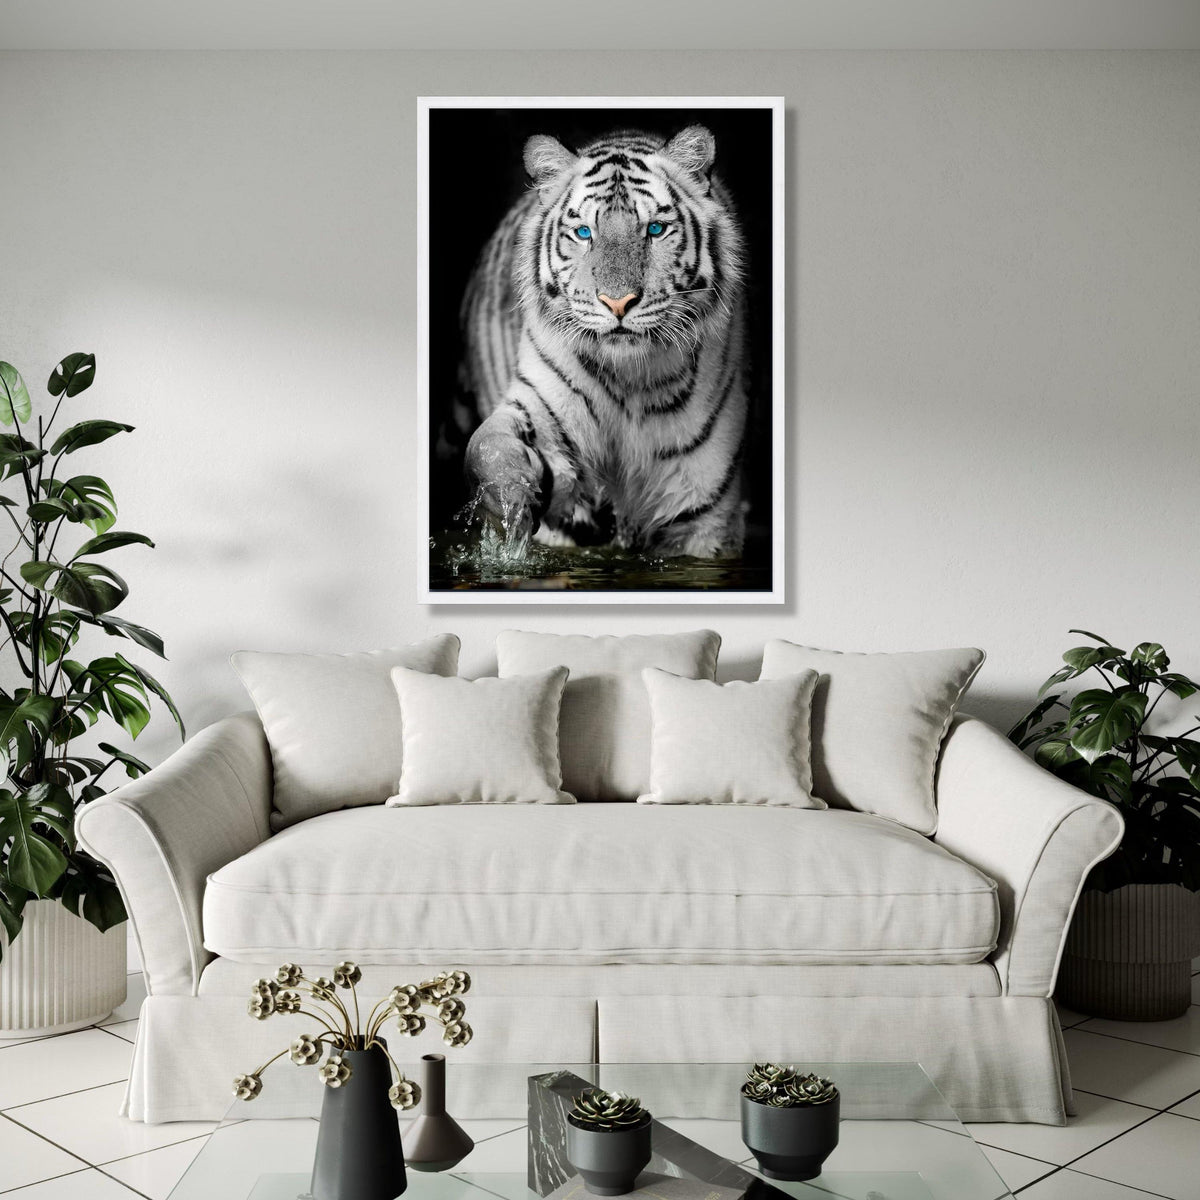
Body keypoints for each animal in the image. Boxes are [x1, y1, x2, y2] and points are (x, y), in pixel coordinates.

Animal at [455, 124, 750, 559]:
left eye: (655, 229)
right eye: (583, 233)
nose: (618, 302)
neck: (630, 380)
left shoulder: (704, 514)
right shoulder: (540, 407)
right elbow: (487, 446)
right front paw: (511, 501)